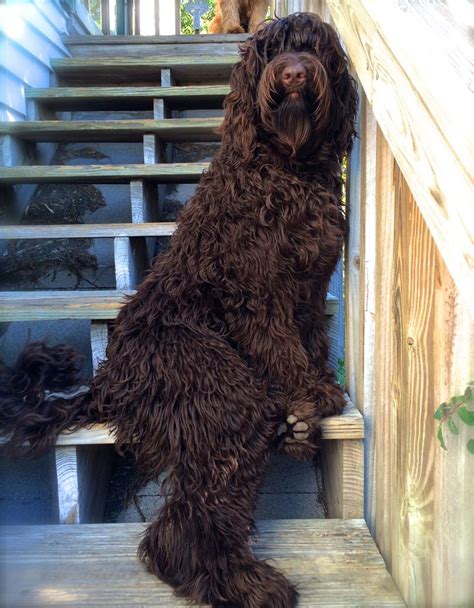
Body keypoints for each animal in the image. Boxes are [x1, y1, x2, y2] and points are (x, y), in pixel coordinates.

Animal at [0, 13, 356, 608]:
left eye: (315, 49)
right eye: (271, 52)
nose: (294, 73)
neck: (286, 169)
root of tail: (108, 382)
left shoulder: (309, 283)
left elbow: (310, 338)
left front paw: (315, 391)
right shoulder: (254, 290)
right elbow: (278, 343)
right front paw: (308, 392)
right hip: (212, 382)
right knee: (183, 522)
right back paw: (241, 580)